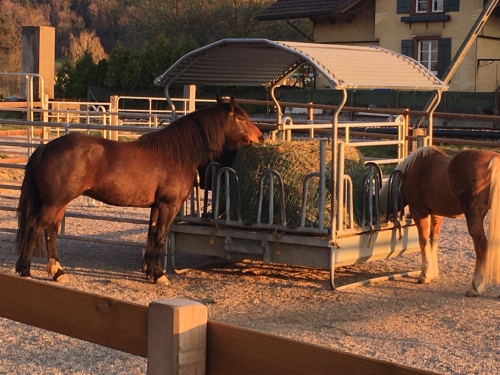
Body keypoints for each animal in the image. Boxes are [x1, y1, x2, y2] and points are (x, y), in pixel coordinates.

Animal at [14, 97, 264, 284]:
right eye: (241, 118)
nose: (261, 137)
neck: (176, 154)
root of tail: (46, 148)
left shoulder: (157, 206)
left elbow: (152, 235)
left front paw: (150, 272)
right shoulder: (169, 206)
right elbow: (161, 237)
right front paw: (160, 275)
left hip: (59, 204)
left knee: (51, 231)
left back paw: (58, 272)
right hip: (53, 203)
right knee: (34, 228)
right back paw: (25, 270)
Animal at [378, 146, 500, 296]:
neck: (411, 170)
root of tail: (494, 160)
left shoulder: (419, 212)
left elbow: (423, 241)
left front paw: (424, 276)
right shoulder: (437, 214)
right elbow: (433, 241)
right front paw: (433, 274)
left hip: (473, 217)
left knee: (481, 246)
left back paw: (474, 287)